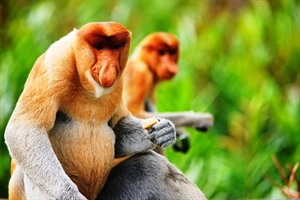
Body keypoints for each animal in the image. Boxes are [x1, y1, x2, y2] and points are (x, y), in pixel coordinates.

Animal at [5, 22, 178, 200]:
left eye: (115, 47)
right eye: (100, 47)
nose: (109, 67)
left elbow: (118, 129)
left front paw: (164, 130)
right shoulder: (54, 63)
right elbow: (25, 129)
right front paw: (69, 195)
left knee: (151, 165)